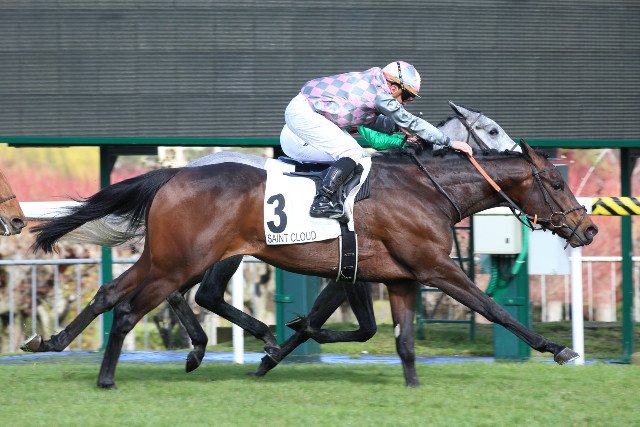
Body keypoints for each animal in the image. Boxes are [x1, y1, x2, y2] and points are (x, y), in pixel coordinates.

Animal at [22, 136, 598, 388]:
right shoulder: (434, 269)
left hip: (169, 257)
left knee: (112, 295)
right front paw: (558, 348)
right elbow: (494, 310)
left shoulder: (394, 277)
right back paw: (108, 377)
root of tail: (175, 174)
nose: (588, 228)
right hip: (181, 261)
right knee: (139, 306)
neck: (426, 190)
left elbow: (398, 339)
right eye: (555, 181)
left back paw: (51, 341)